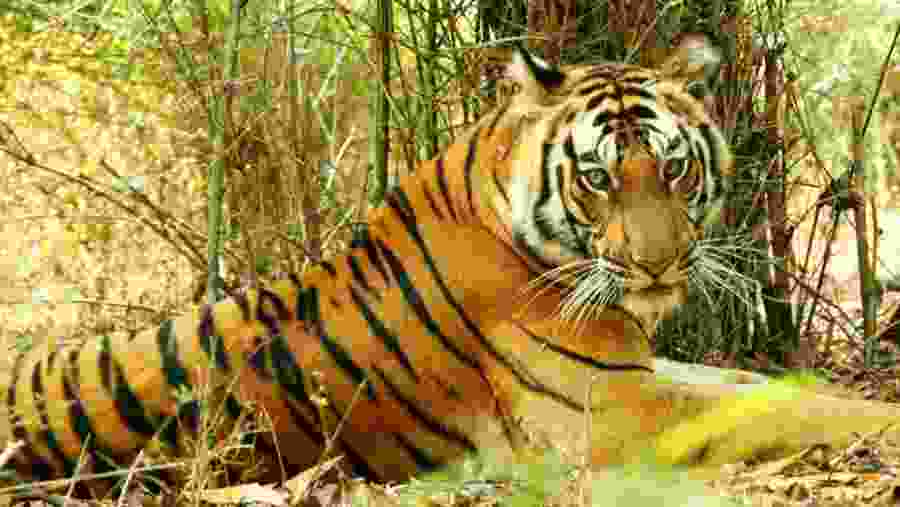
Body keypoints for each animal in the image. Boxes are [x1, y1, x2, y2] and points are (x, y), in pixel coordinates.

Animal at [5, 36, 900, 496]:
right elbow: (784, 411)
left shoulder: (639, 367)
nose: (657, 265)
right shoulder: (619, 410)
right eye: (599, 176)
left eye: (674, 168)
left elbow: (764, 385)